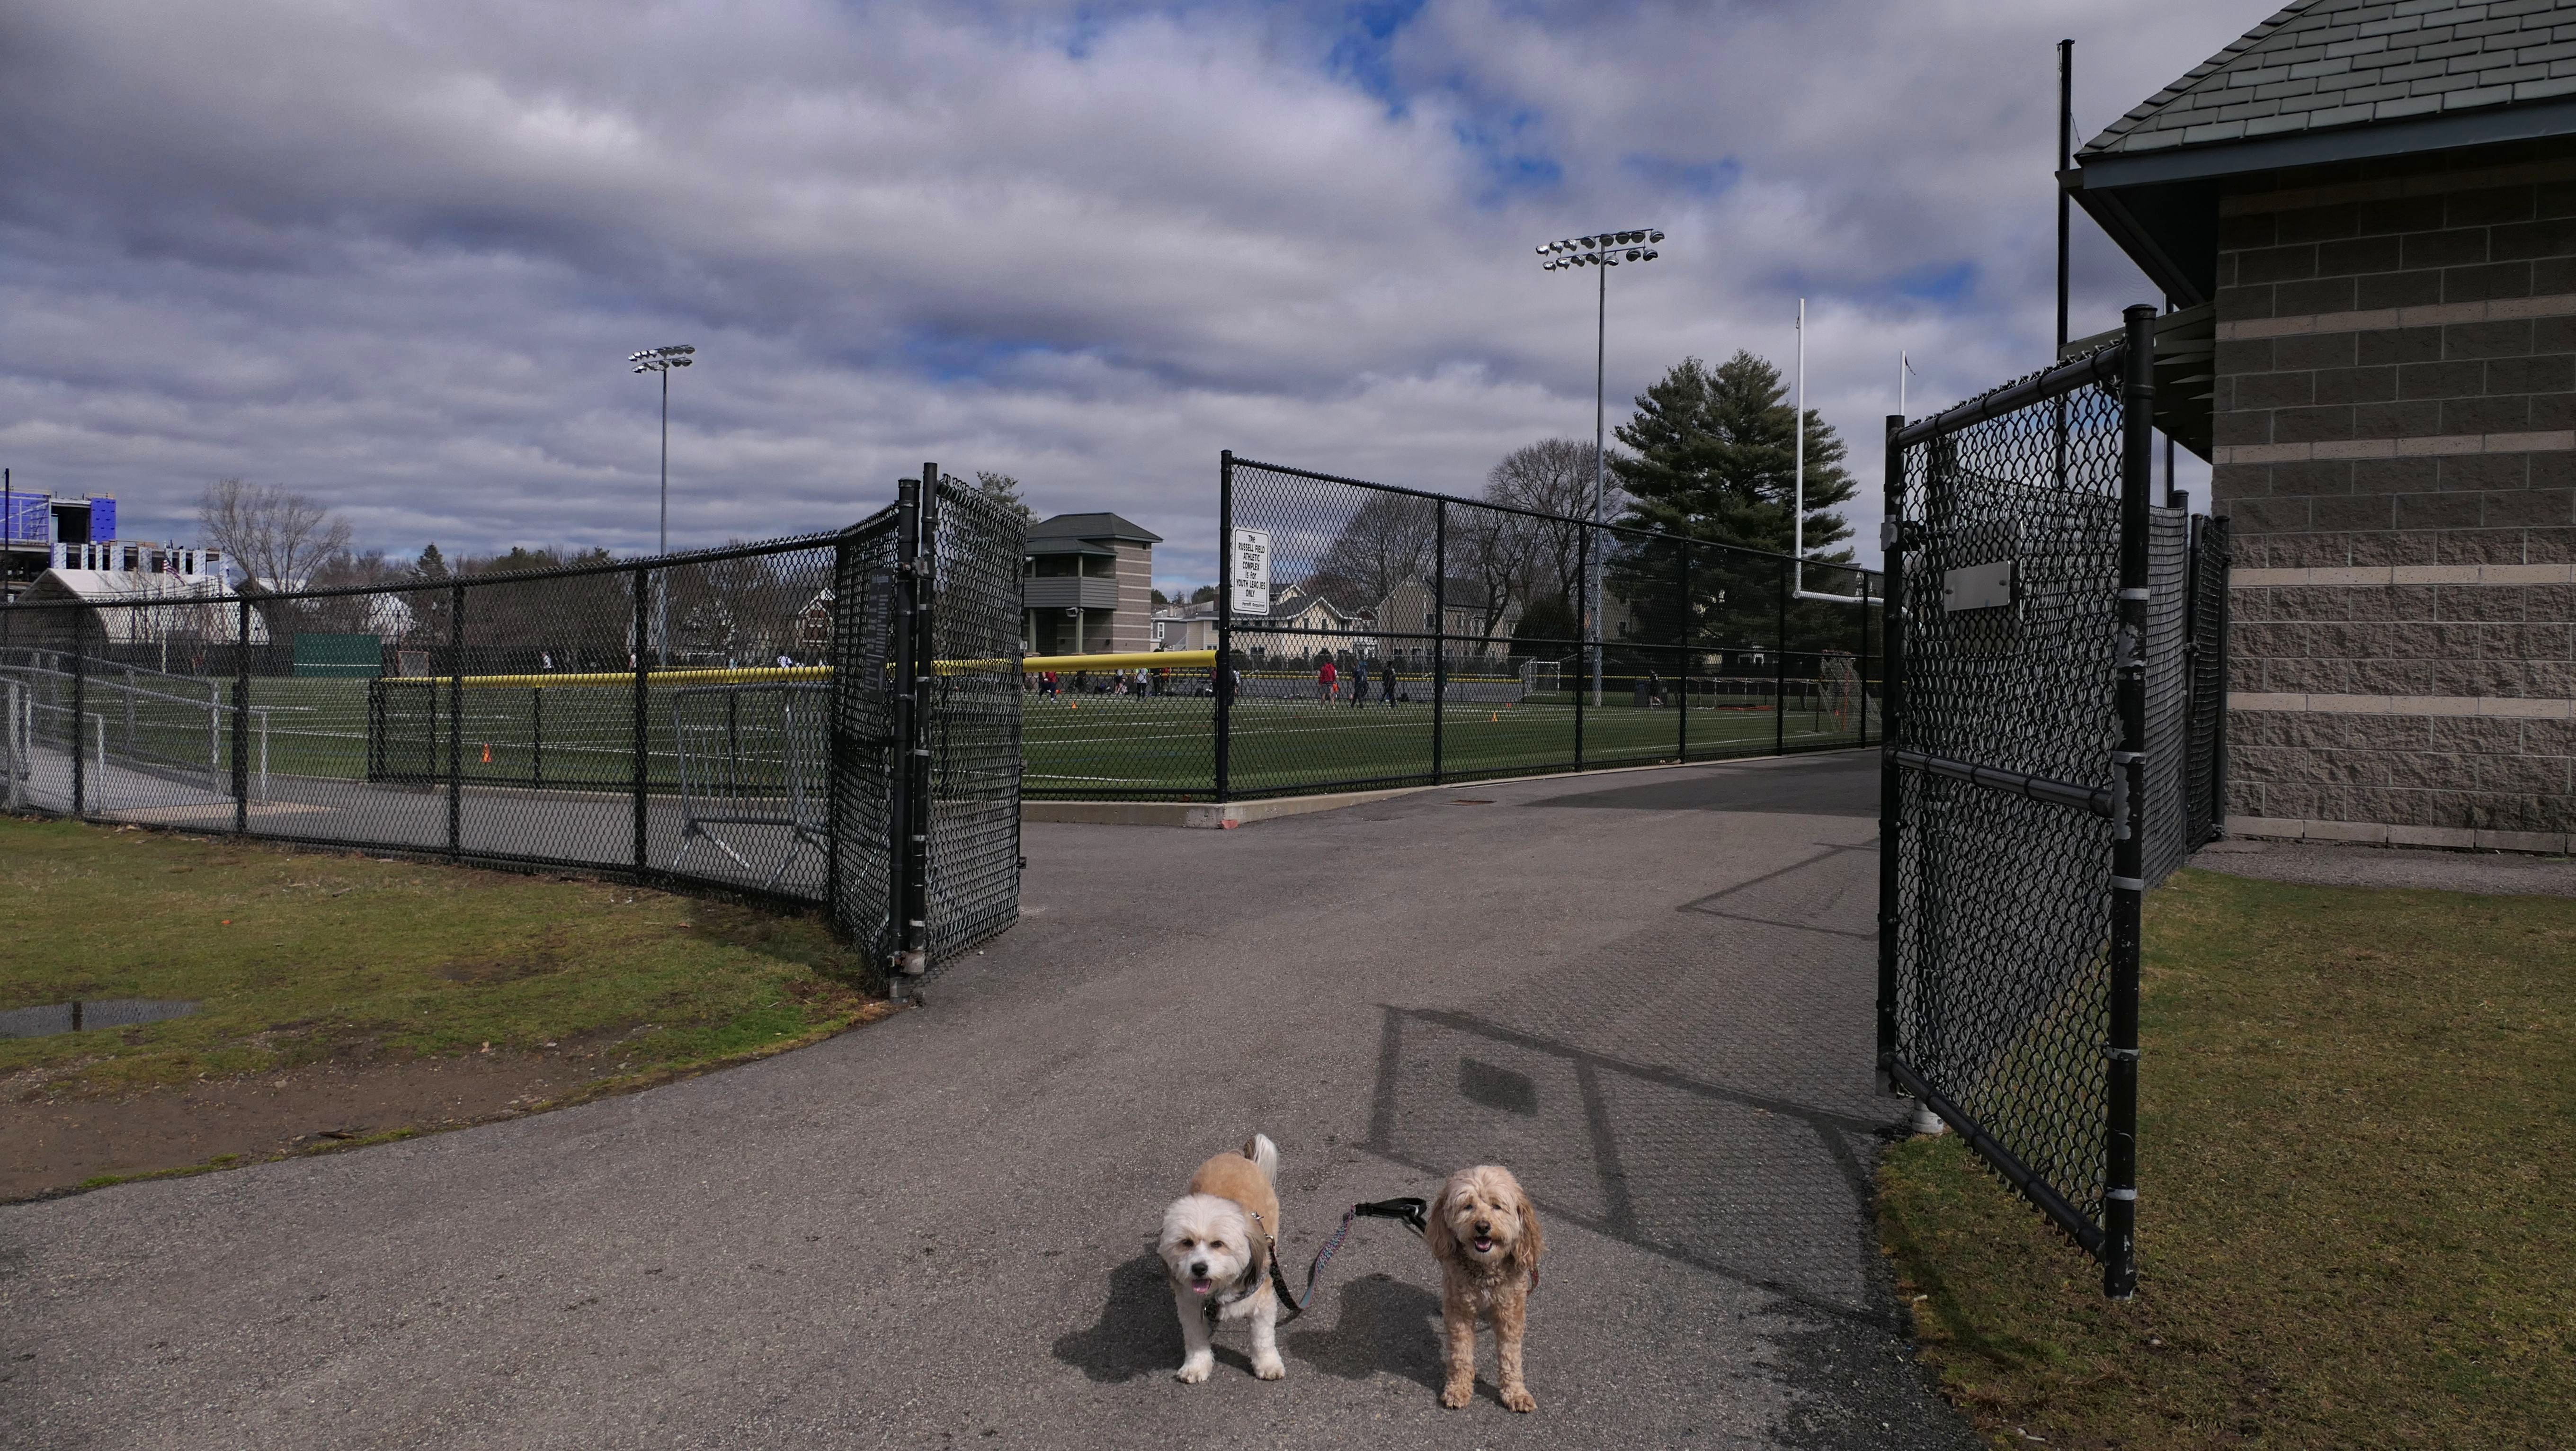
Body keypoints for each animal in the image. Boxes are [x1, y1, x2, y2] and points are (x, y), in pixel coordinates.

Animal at [1158, 1133, 1286, 1384]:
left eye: (1218, 1244)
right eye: (1186, 1243)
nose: (1199, 1268)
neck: (1219, 1291)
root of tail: (1236, 1157)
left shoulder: (1263, 1304)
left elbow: (1263, 1339)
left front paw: (1268, 1364)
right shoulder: (1190, 1305)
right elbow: (1195, 1340)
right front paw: (1196, 1367)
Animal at [1427, 1164, 1543, 1412]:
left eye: (1497, 1206)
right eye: (1468, 1206)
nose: (1482, 1226)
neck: (1485, 1270)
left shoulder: (1511, 1311)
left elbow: (1511, 1356)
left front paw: (1515, 1392)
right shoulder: (1460, 1310)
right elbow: (1460, 1353)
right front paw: (1458, 1388)